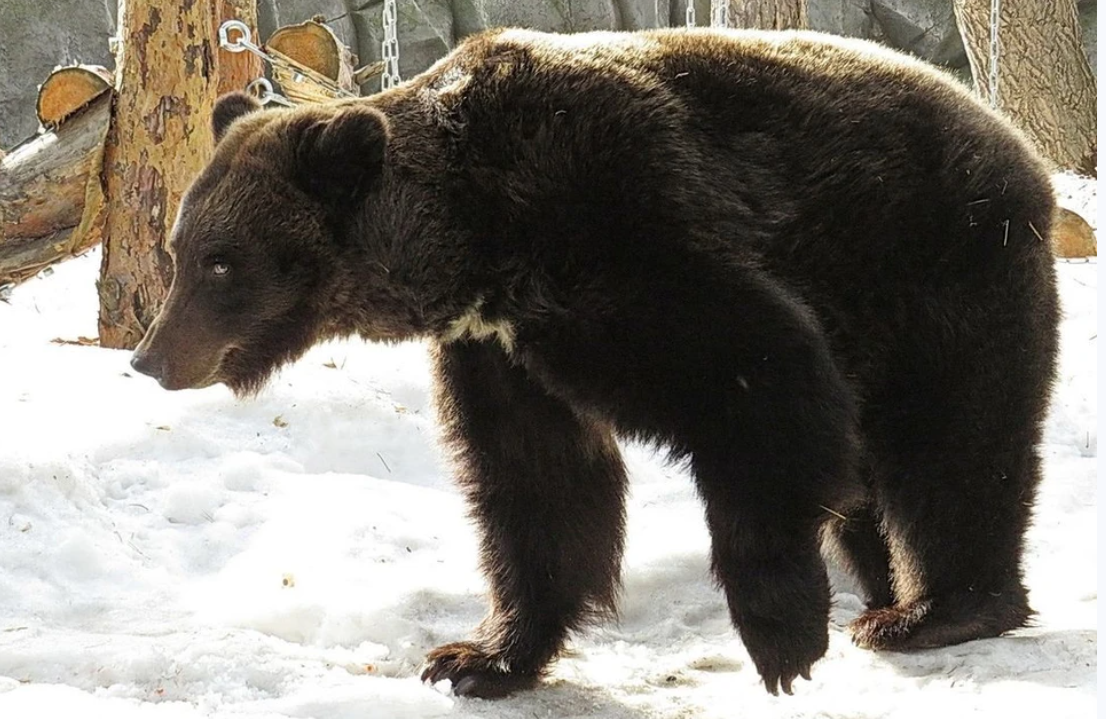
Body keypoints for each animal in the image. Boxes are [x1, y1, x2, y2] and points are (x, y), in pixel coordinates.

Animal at [131, 27, 1061, 694]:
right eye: (180, 251)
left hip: (935, 266)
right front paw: (480, 656)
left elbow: (761, 373)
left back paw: (938, 608)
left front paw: (783, 634)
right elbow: (537, 483)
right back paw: (891, 595)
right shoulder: (500, 347)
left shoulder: (622, 228)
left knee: (949, 446)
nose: (148, 357)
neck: (477, 238)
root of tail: (1012, 138)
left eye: (221, 262)